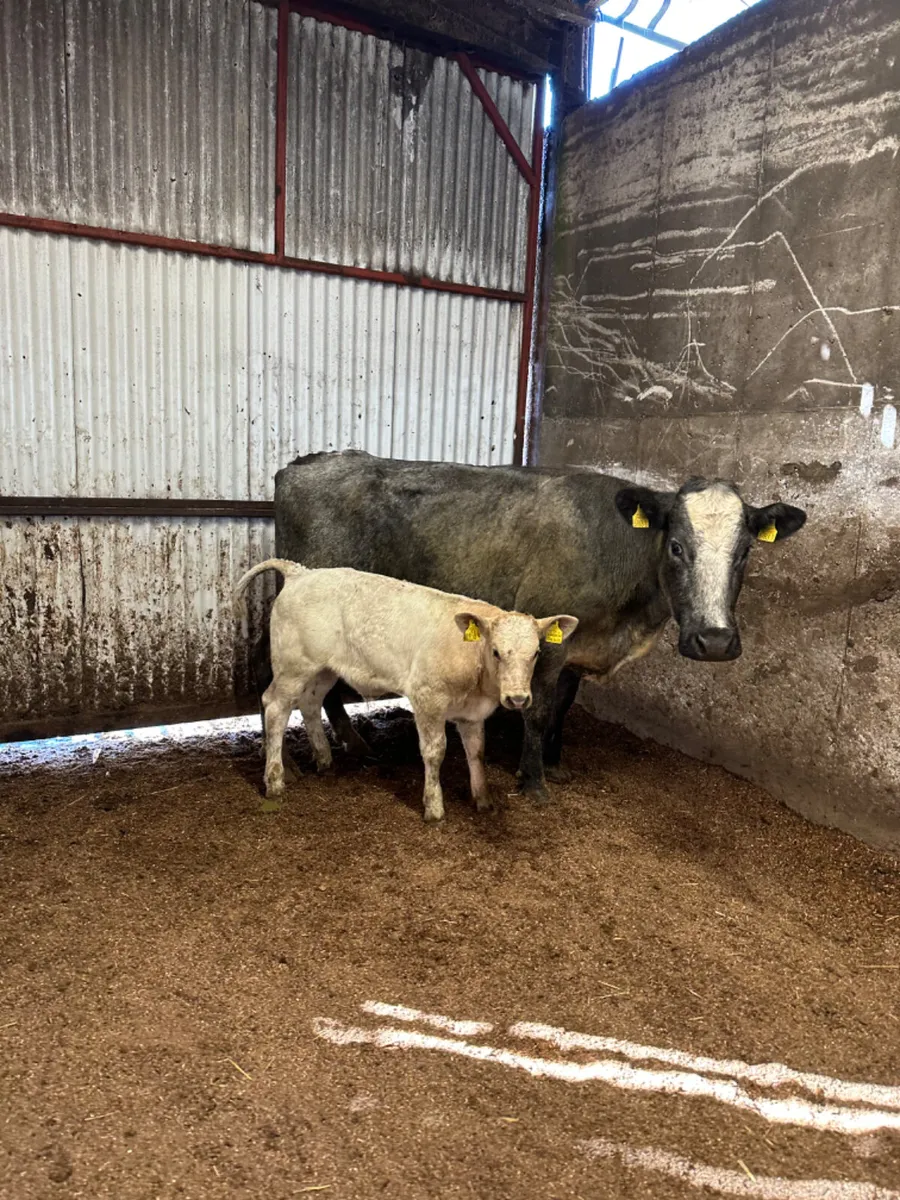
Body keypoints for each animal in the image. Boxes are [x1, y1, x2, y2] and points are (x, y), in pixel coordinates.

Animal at [234, 559, 577, 821]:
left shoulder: (472, 713)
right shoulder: (427, 697)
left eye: (536, 653)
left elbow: (477, 752)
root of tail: (300, 571)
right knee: (275, 706)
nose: (518, 698)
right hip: (293, 665)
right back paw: (275, 781)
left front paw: (483, 800)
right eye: (496, 651)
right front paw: (434, 808)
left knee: (310, 702)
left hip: (323, 669)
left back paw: (324, 760)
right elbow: (435, 751)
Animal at [251, 451, 806, 805]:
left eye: (746, 551)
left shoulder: (578, 645)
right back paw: (331, 753)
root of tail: (306, 462)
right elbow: (538, 711)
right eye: (675, 546)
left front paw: (556, 763)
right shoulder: (548, 642)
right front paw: (532, 781)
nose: (714, 641)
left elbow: (563, 707)